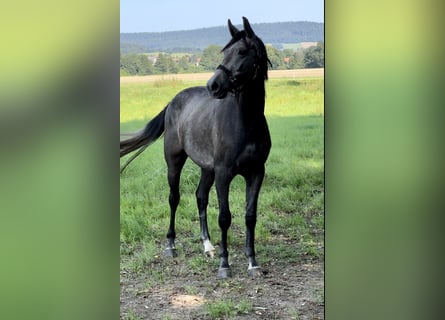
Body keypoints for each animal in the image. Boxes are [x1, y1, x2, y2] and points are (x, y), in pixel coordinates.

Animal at [119, 16, 270, 278]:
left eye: (241, 51)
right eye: (225, 51)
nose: (213, 85)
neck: (245, 124)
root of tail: (172, 101)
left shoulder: (256, 173)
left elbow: (250, 216)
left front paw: (253, 263)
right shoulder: (224, 174)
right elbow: (224, 217)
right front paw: (224, 265)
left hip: (206, 168)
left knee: (200, 197)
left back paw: (207, 246)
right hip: (175, 162)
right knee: (174, 198)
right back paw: (171, 246)